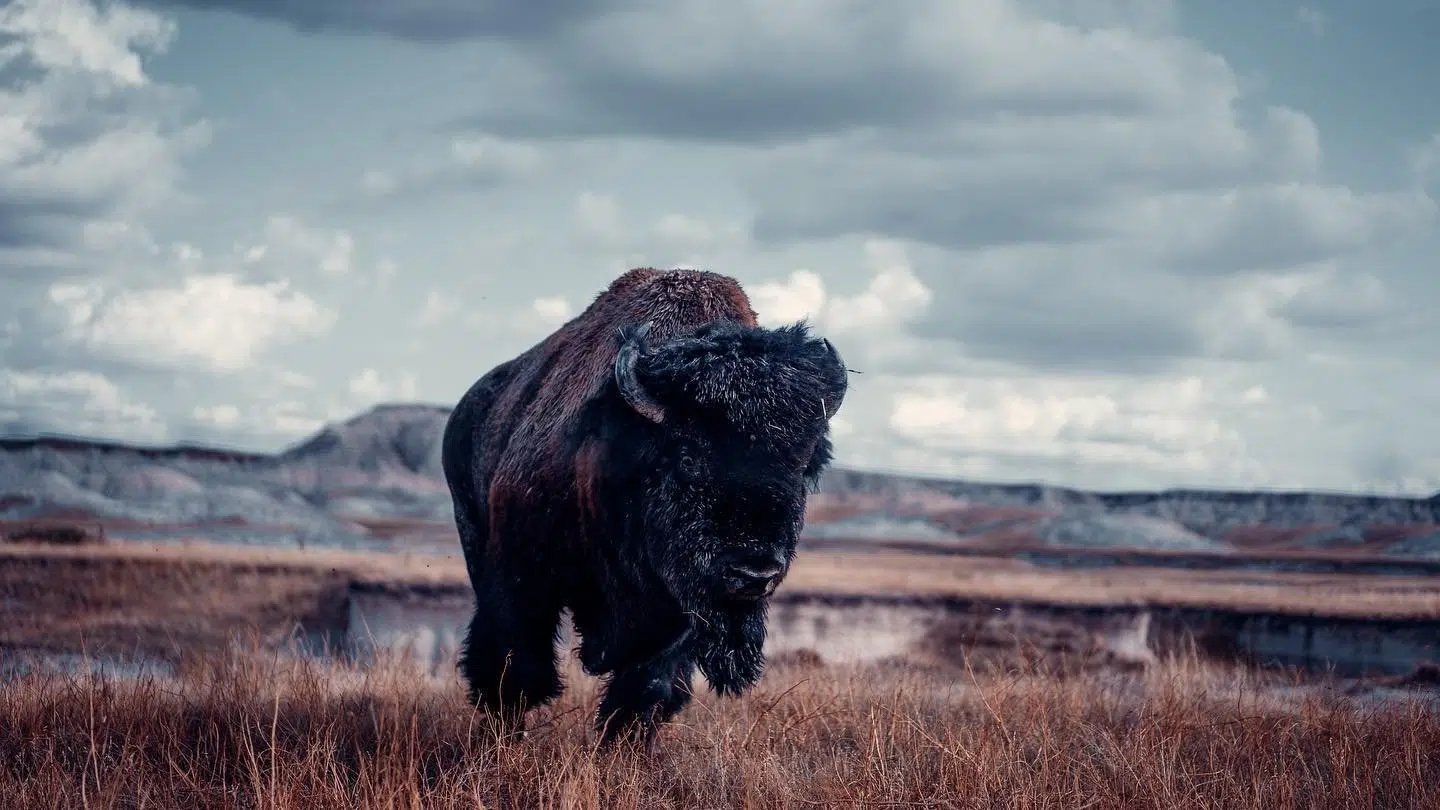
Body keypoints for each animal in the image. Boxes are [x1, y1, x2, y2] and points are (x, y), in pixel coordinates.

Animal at [441, 267, 849, 749]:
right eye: (688, 458)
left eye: (804, 468)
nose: (754, 573)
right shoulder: (523, 577)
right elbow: (514, 671)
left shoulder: (679, 610)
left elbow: (648, 686)